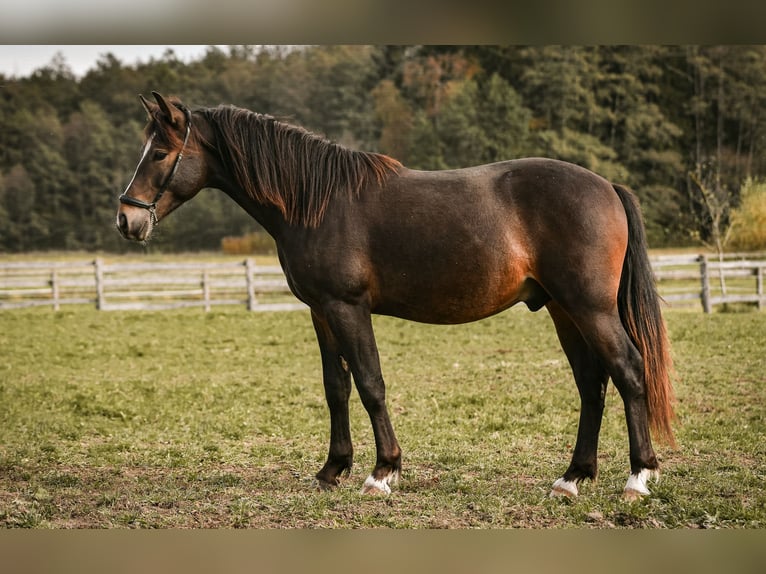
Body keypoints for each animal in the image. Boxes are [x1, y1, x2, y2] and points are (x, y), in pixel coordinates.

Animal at [116, 91, 676, 499]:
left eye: (160, 153)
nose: (126, 219)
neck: (316, 202)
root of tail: (606, 186)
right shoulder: (321, 312)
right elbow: (336, 387)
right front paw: (332, 470)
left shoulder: (347, 307)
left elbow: (370, 383)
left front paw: (382, 472)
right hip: (563, 310)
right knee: (591, 383)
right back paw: (573, 477)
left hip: (590, 308)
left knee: (628, 370)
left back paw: (638, 478)